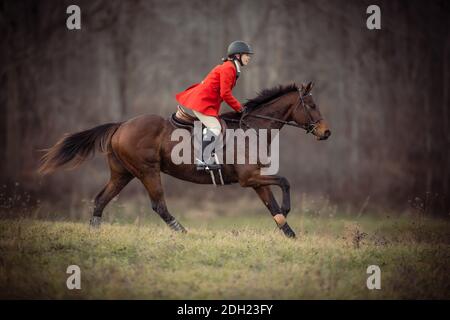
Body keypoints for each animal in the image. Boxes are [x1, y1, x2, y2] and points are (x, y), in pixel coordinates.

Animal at [38, 82, 330, 238]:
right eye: (312, 106)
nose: (326, 132)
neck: (254, 128)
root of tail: (121, 125)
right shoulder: (249, 179)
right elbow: (285, 181)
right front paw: (288, 211)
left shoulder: (256, 180)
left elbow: (272, 206)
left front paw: (289, 233)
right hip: (147, 171)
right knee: (158, 206)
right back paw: (182, 231)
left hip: (123, 174)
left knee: (100, 199)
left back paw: (94, 232)